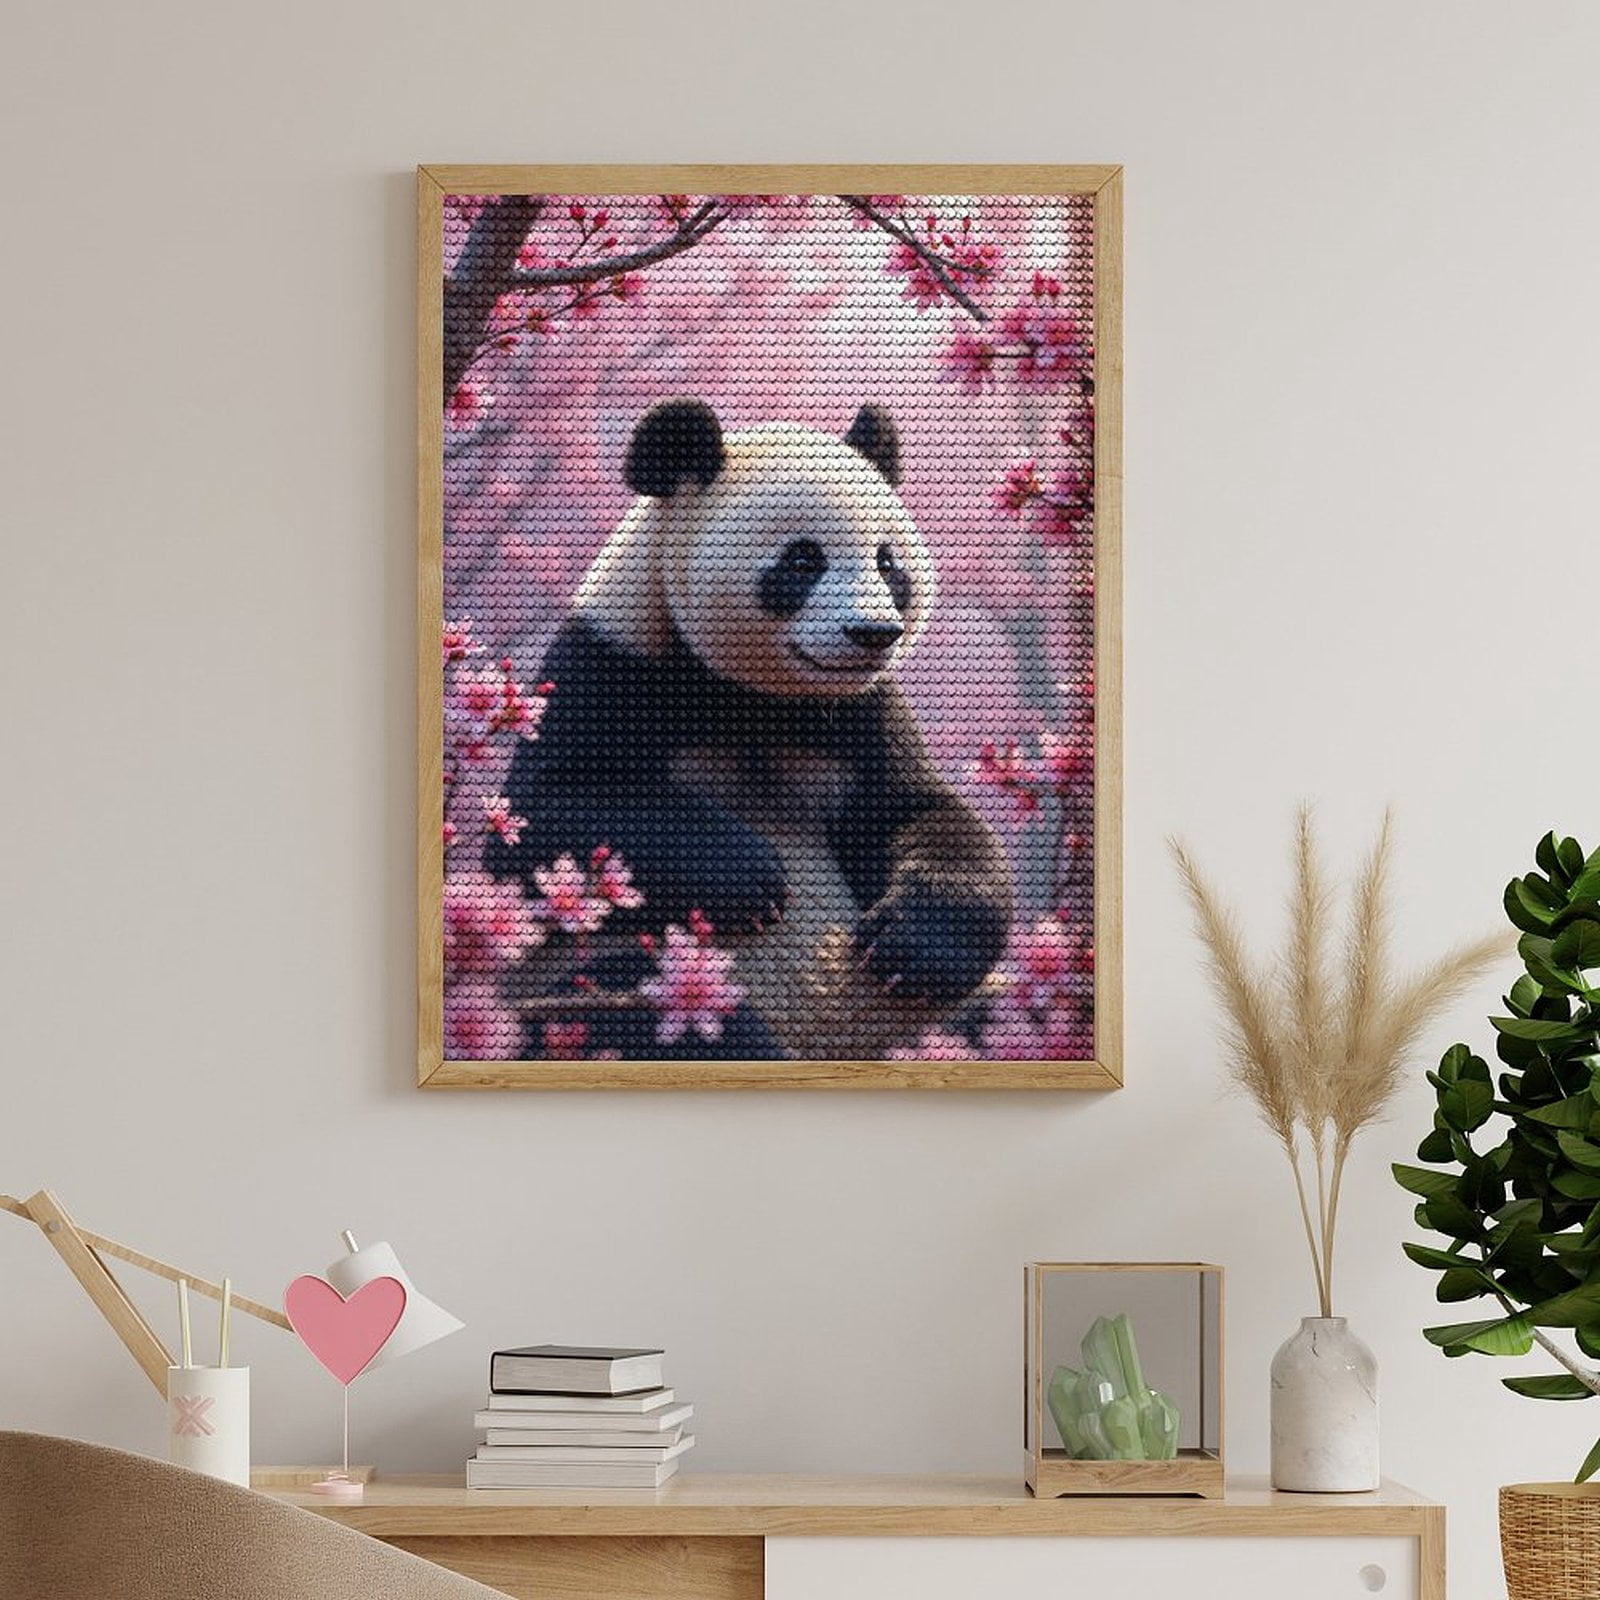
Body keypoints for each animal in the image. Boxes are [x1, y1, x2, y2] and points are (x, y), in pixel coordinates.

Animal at [485, 399, 1014, 1060]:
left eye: (888, 562)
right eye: (803, 560)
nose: (874, 633)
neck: (756, 695)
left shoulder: (861, 711)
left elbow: (914, 812)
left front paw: (914, 947)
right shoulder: (611, 665)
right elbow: (537, 820)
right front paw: (750, 875)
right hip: (607, 990)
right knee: (642, 1004)